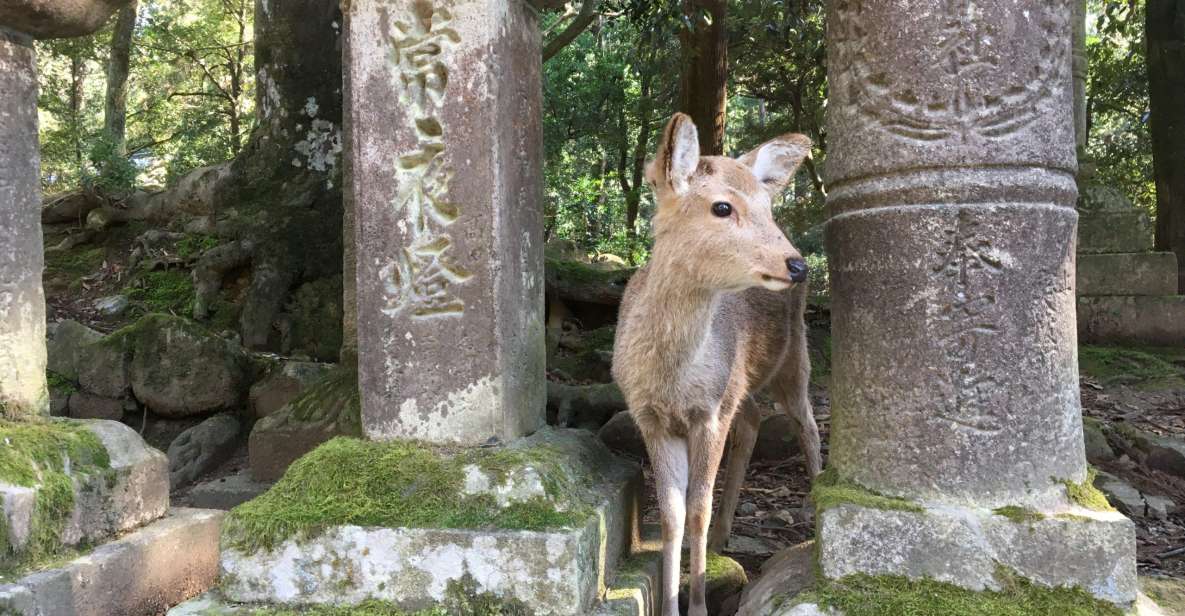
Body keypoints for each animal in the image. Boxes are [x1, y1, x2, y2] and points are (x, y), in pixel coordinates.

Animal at [611, 114, 824, 616]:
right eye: (722, 207)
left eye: (768, 207)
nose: (797, 265)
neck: (672, 379)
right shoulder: (649, 417)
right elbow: (671, 513)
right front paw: (670, 604)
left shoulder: (709, 413)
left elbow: (697, 508)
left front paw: (699, 604)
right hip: (741, 385)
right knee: (753, 419)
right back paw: (726, 535)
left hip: (794, 359)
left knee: (808, 424)